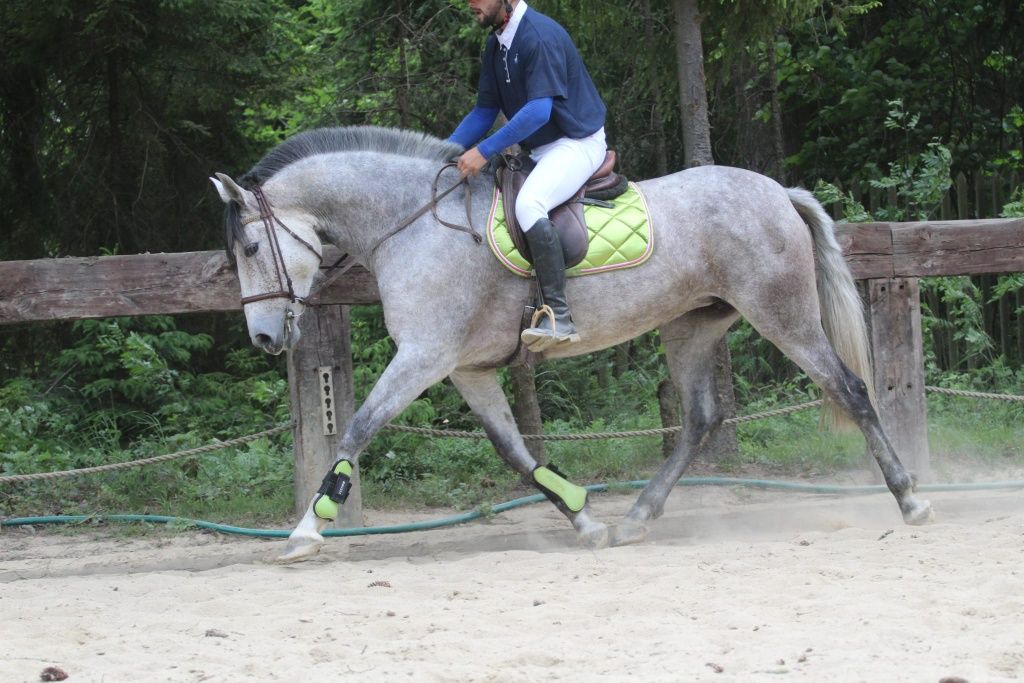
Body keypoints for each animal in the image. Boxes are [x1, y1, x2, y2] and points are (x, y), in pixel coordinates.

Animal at [211, 125, 933, 565]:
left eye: (248, 248)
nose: (266, 337)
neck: (412, 225)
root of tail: (776, 191)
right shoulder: (468, 370)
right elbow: (514, 451)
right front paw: (583, 517)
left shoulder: (423, 357)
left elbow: (357, 428)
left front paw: (307, 527)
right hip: (691, 327)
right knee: (701, 417)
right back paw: (639, 514)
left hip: (783, 315)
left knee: (851, 388)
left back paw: (910, 498)